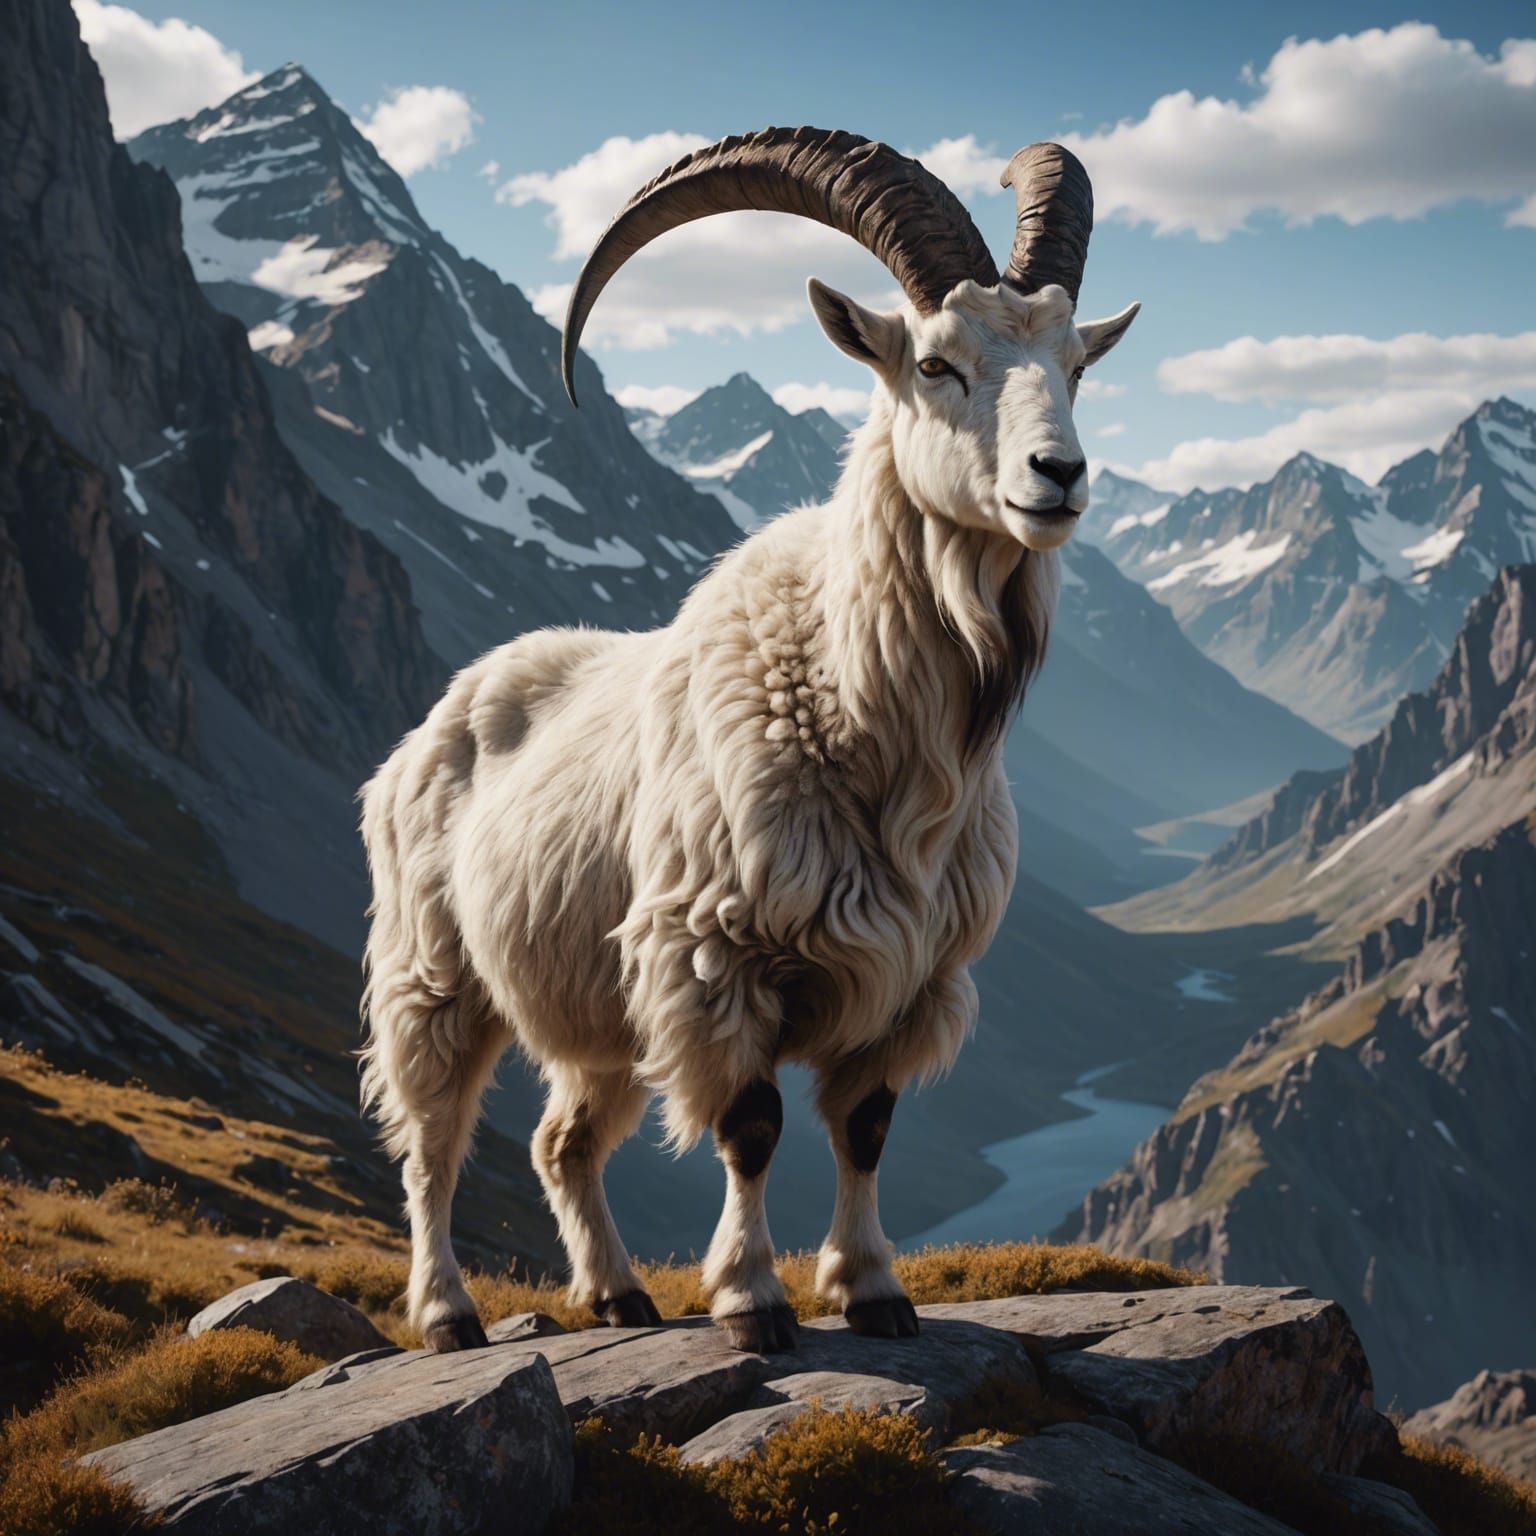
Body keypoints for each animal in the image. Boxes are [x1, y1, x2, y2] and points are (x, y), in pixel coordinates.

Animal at [360, 129, 1138, 1353]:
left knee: (560, 1141)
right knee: (432, 1137)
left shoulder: (913, 979)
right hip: (432, 970)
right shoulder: (714, 957)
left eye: (1075, 364)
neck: (859, 717)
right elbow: (753, 1126)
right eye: (936, 364)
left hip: (600, 1007)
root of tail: (439, 718)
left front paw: (872, 1291)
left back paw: (617, 1293)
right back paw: (446, 1313)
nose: (1056, 478)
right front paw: (752, 1300)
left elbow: (865, 1128)